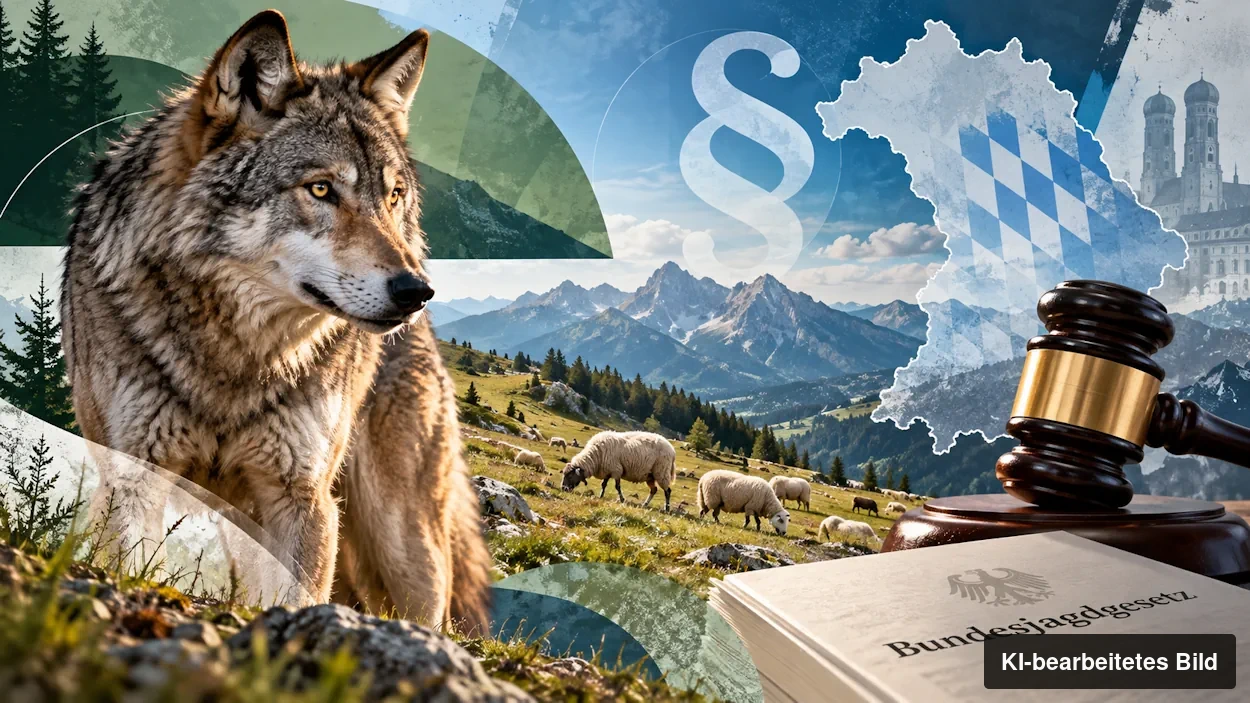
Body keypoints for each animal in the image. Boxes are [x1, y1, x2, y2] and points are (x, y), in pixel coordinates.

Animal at [61, 10, 491, 631]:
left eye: (393, 195)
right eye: (321, 189)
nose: (417, 291)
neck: (235, 357)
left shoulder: (302, 498)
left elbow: (297, 599)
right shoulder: (134, 477)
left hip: (406, 546)